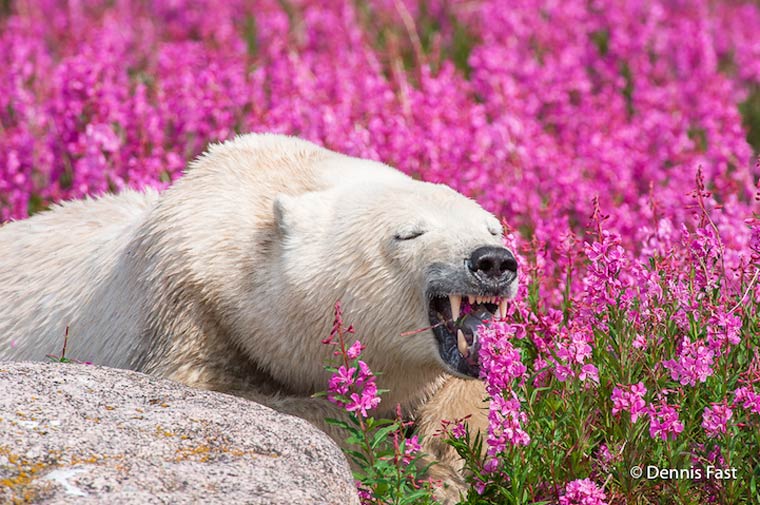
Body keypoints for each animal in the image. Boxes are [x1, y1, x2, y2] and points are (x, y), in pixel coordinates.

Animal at [0, 132, 520, 498]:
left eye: (493, 227)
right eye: (409, 233)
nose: (493, 261)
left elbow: (466, 394)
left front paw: (446, 459)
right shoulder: (183, 309)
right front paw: (396, 459)